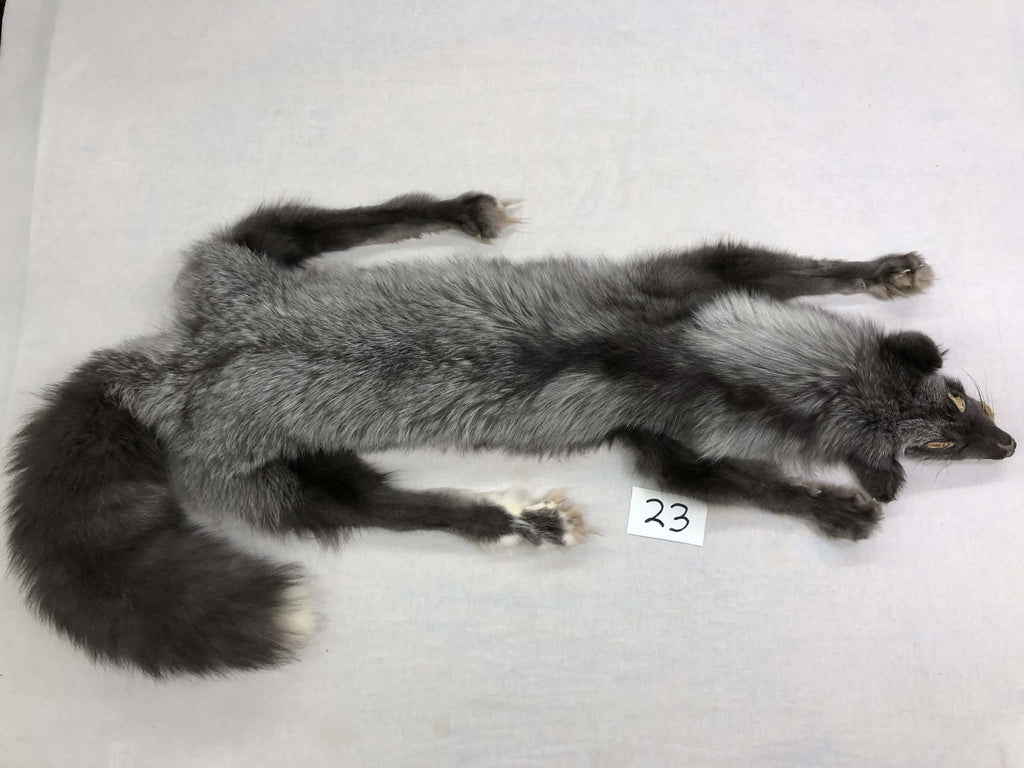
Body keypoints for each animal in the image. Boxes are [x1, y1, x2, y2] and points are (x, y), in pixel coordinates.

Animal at [5, 191, 1015, 677]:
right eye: (937, 445)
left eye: (960, 405)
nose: (1008, 451)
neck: (683, 356)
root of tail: (173, 367)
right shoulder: (659, 429)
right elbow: (724, 482)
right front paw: (832, 509)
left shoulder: (694, 286)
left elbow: (790, 269)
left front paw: (879, 270)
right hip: (287, 484)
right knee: (382, 507)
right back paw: (512, 520)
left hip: (259, 252)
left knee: (320, 223)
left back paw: (455, 212)